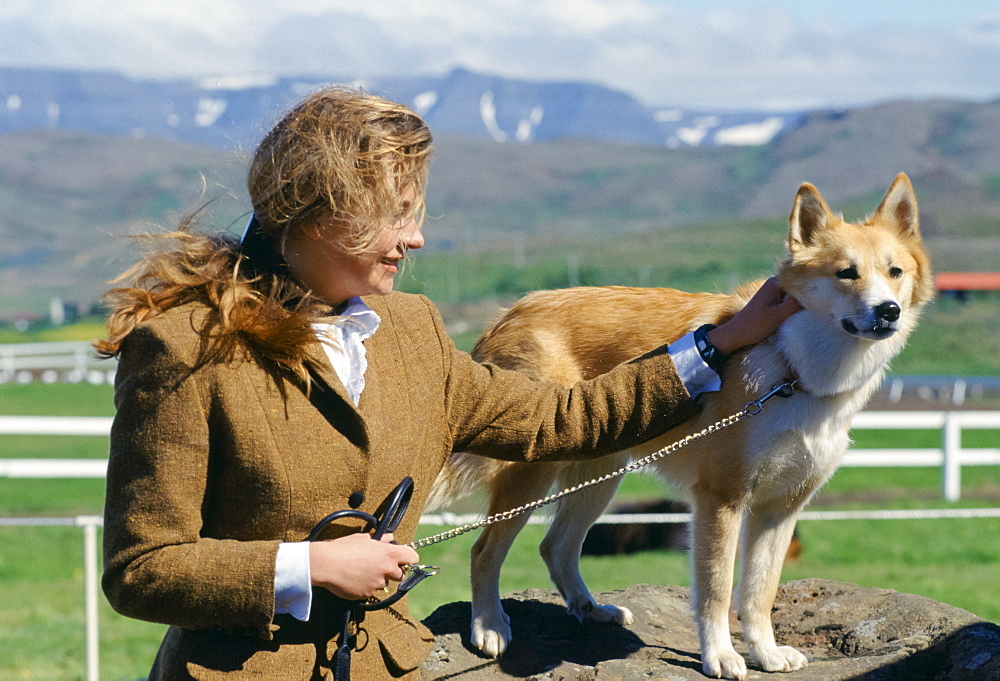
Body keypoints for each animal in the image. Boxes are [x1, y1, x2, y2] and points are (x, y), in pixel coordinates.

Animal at [426, 177, 932, 680]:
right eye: (846, 273)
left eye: (895, 272)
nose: (888, 311)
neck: (795, 365)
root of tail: (510, 312)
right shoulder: (721, 499)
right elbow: (717, 592)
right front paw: (721, 656)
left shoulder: (780, 507)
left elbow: (759, 593)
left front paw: (766, 653)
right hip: (532, 474)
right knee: (484, 551)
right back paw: (489, 625)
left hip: (599, 476)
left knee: (556, 547)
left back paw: (590, 610)